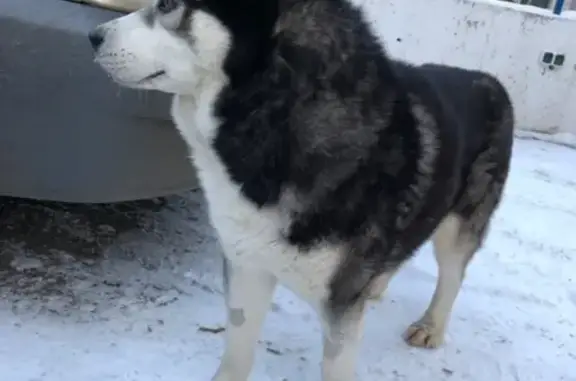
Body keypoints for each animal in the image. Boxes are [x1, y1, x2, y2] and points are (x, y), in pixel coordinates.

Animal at [89, 1, 512, 378]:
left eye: (167, 4)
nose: (93, 36)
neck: (277, 116)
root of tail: (490, 79)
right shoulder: (248, 266)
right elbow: (237, 352)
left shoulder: (340, 308)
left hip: (461, 222)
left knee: (453, 273)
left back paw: (432, 326)